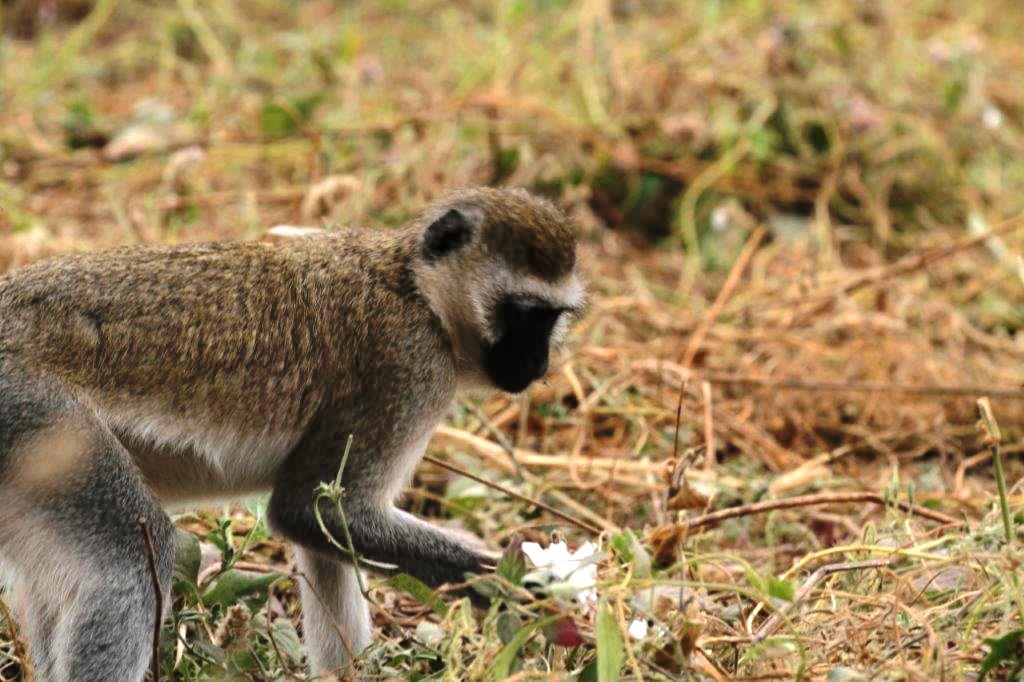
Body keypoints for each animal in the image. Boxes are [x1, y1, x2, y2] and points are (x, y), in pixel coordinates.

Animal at [0, 186, 584, 680]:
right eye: (524, 313)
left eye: (552, 318)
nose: (538, 362)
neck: (416, 290)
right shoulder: (409, 366)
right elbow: (312, 508)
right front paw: (529, 589)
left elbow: (323, 536)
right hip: (36, 414)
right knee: (128, 560)